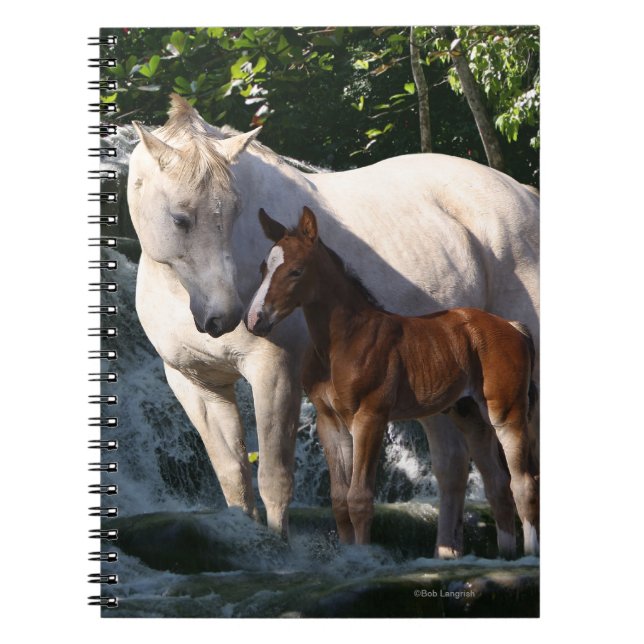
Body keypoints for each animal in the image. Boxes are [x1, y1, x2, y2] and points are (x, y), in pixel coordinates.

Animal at [246, 207, 539, 556]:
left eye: (296, 271)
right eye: (263, 267)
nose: (255, 320)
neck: (343, 341)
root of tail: (512, 326)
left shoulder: (370, 418)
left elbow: (359, 498)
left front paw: (363, 557)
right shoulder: (330, 422)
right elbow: (339, 501)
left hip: (506, 413)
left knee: (523, 484)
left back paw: (527, 554)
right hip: (470, 416)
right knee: (498, 486)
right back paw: (505, 555)